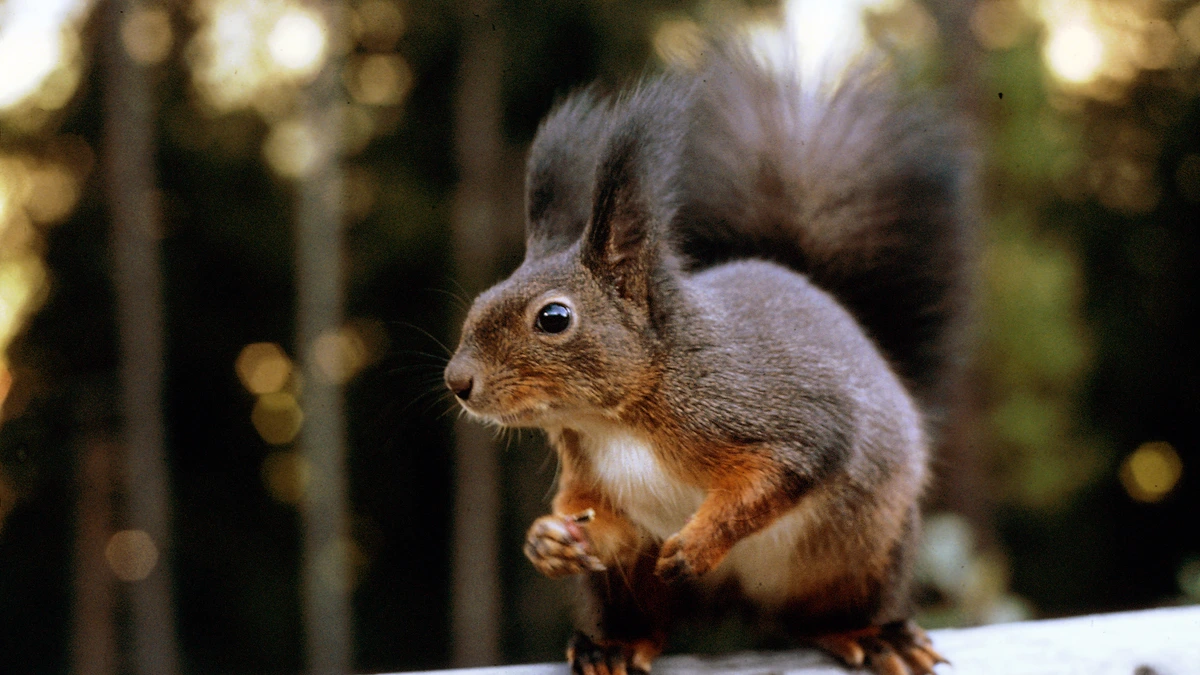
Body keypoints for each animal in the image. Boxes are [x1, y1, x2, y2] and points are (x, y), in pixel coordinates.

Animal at [444, 39, 974, 675]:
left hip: (871, 548)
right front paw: (547, 542)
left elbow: (774, 477)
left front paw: (698, 544)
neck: (613, 420)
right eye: (481, 299)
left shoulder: (784, 416)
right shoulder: (597, 483)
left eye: (553, 318)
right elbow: (609, 526)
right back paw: (611, 646)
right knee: (643, 619)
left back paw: (875, 635)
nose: (457, 381)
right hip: (625, 591)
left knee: (827, 616)